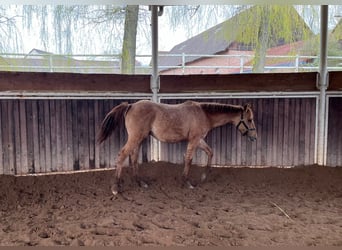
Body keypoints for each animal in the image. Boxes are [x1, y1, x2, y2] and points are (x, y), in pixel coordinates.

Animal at [97, 98, 256, 194]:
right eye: (249, 119)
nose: (254, 137)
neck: (204, 114)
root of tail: (130, 105)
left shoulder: (199, 140)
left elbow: (210, 152)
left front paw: (204, 177)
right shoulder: (194, 140)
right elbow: (189, 160)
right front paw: (187, 182)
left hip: (138, 139)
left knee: (134, 158)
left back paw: (140, 182)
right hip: (136, 138)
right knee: (122, 155)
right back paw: (115, 187)